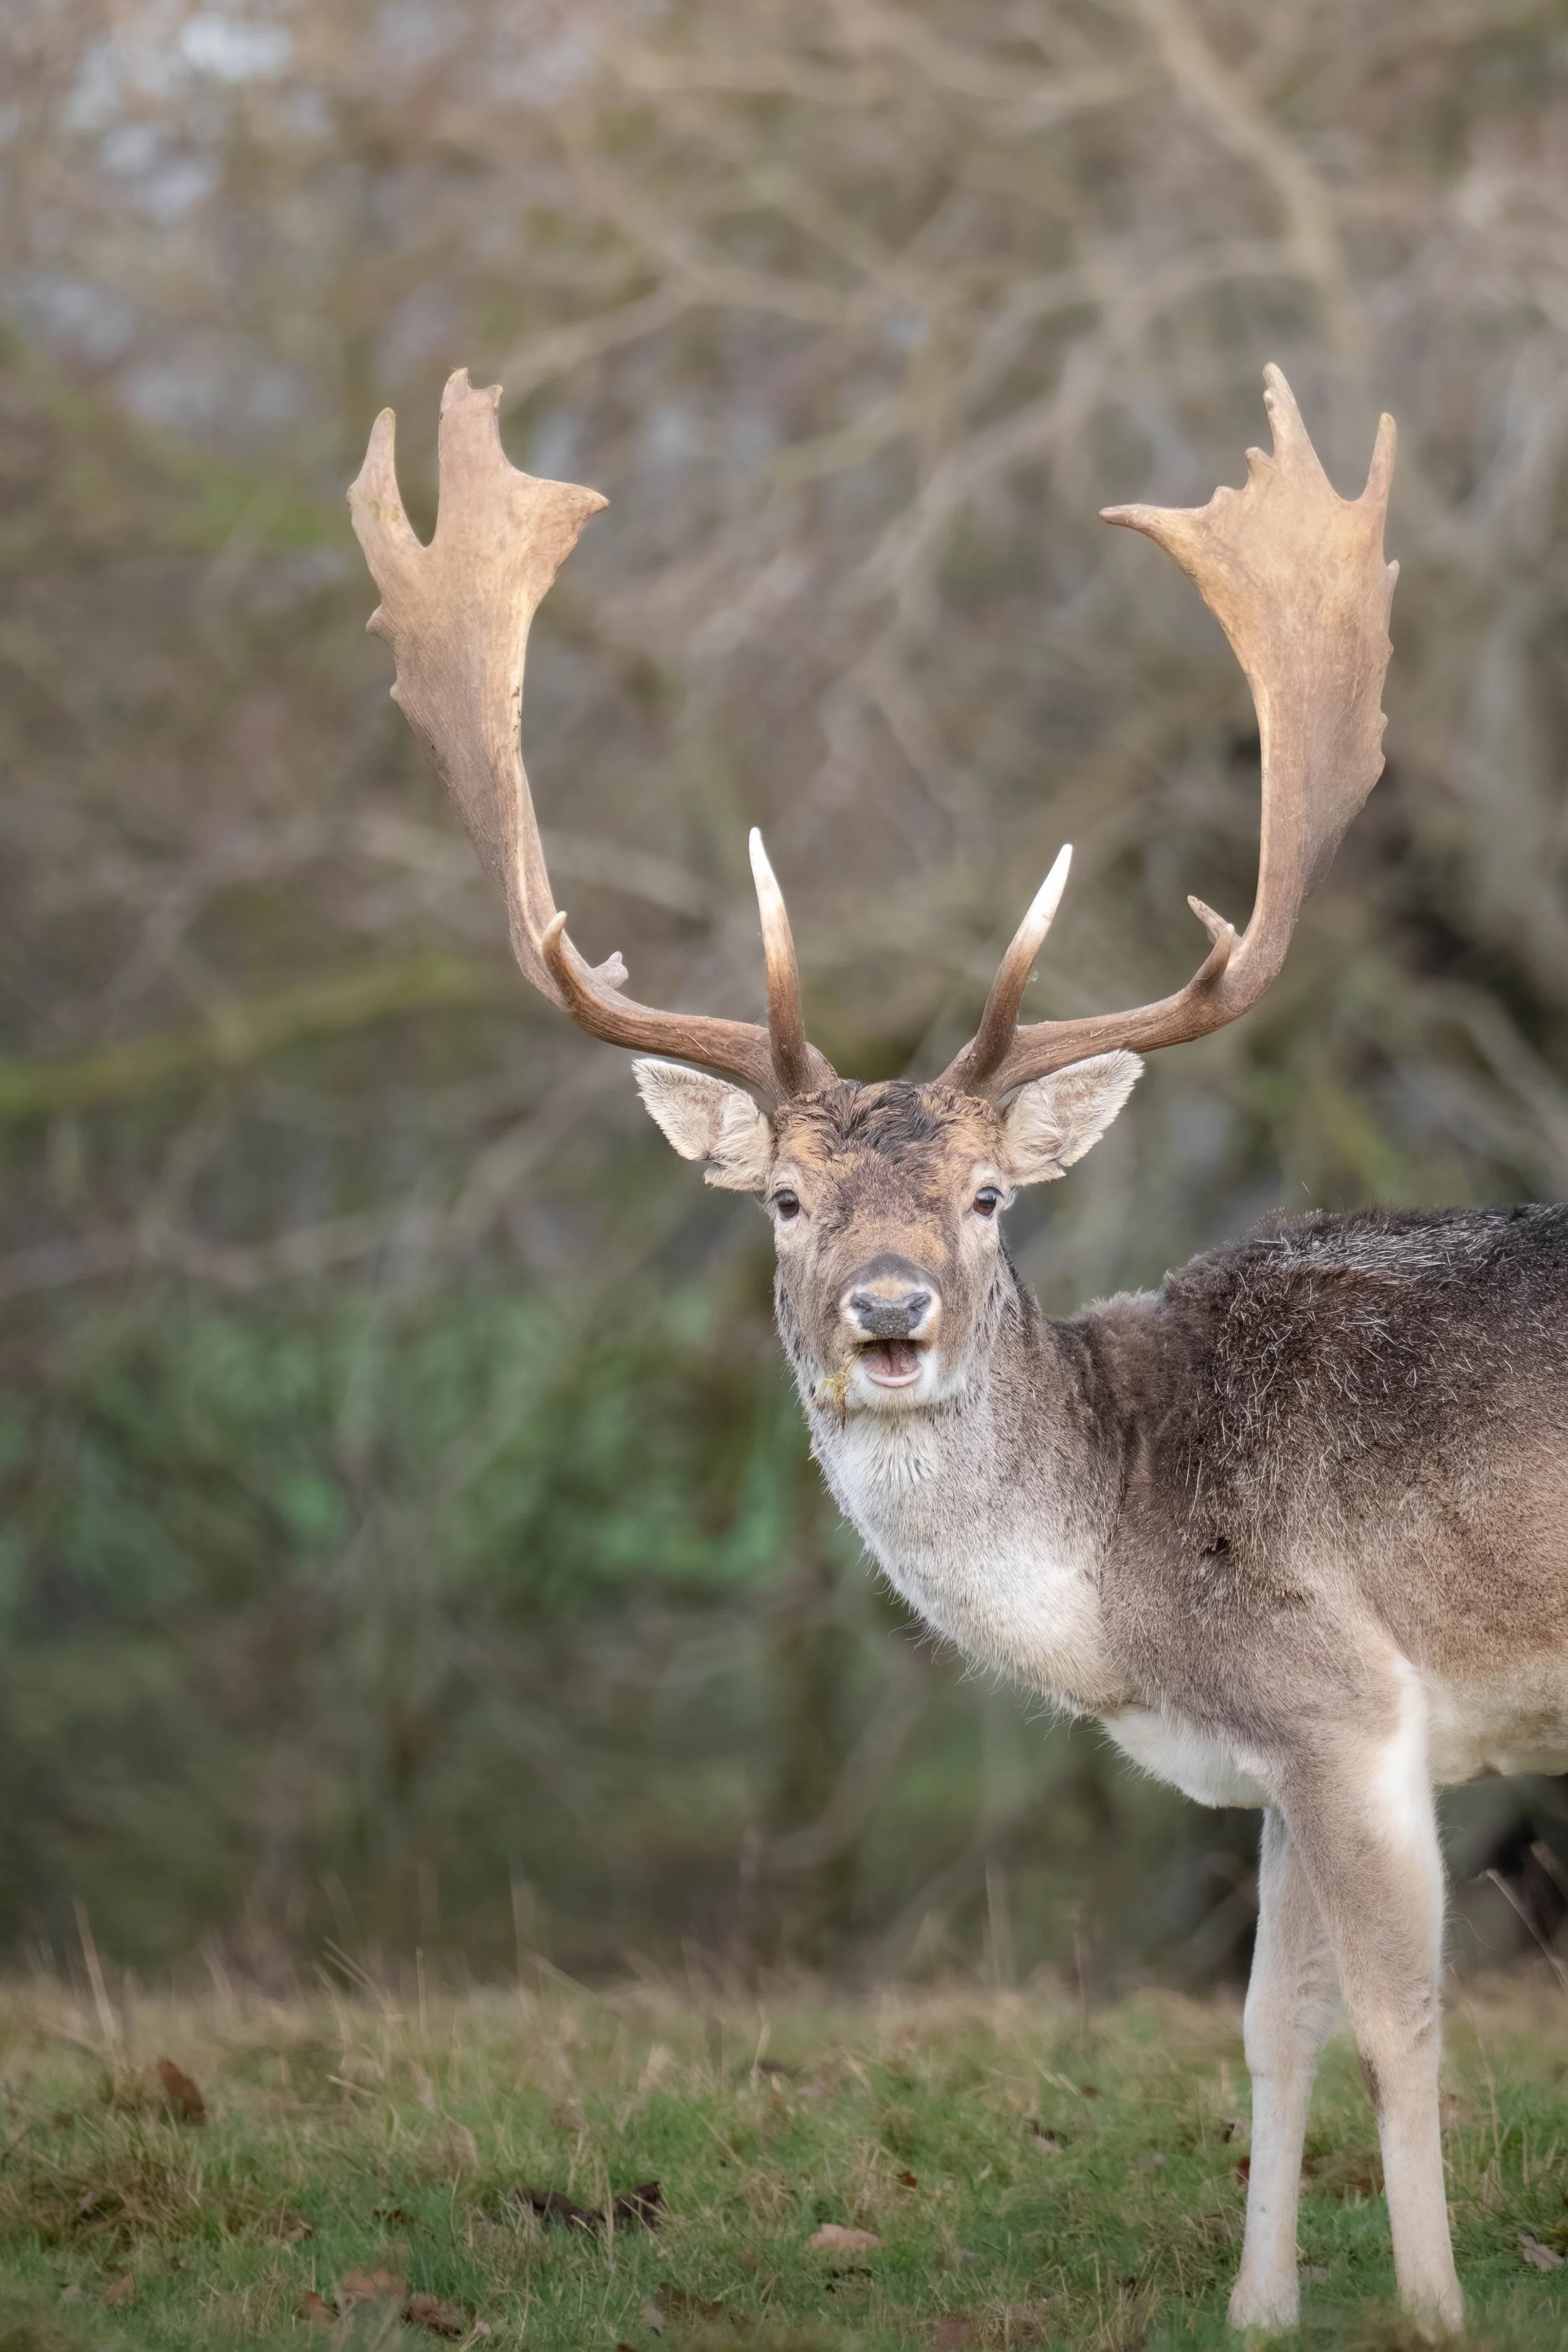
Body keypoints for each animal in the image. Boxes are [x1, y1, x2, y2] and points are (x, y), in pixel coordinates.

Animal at [349, 361, 1568, 2334]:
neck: (1122, 1592)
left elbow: (1397, 2023)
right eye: (783, 1197)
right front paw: (1256, 2307)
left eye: (990, 1195)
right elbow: (1268, 2028)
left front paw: (1436, 2308)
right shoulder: (1277, 1751)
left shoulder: (1352, 1703)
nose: (891, 1312)